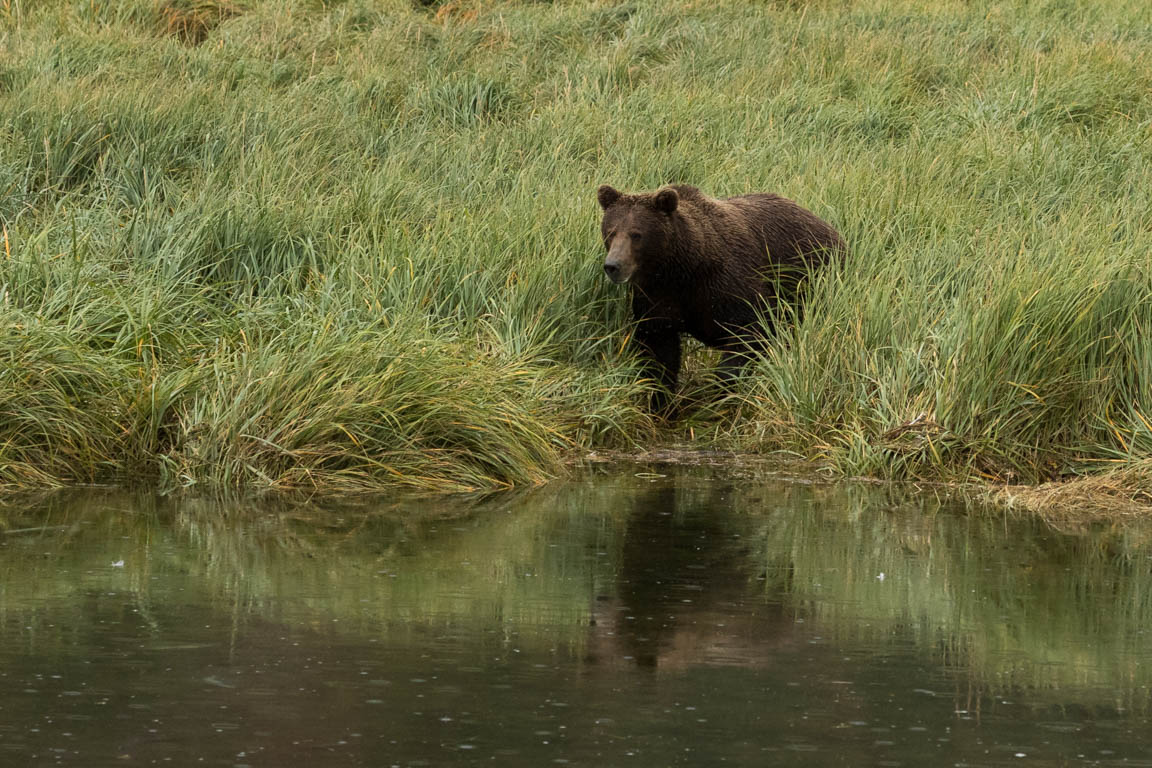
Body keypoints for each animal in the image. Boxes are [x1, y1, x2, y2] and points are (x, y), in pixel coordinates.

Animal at [599, 184, 843, 414]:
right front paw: (661, 403)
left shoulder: (728, 286)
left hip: (814, 277)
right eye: (611, 232)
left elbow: (749, 332)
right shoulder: (658, 298)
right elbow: (659, 350)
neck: (683, 270)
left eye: (636, 234)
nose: (613, 266)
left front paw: (719, 400)